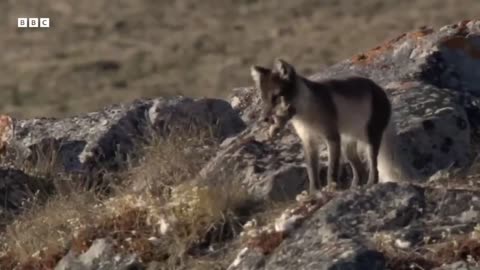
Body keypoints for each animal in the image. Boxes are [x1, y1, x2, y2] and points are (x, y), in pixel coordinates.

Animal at [249, 58, 392, 194]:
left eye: (276, 97)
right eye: (263, 99)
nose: (264, 119)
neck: (306, 113)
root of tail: (381, 90)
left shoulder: (332, 137)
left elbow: (332, 168)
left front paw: (332, 187)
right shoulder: (308, 141)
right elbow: (312, 171)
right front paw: (314, 191)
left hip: (369, 140)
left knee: (374, 168)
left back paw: (370, 184)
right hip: (347, 147)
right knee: (360, 170)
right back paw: (354, 187)